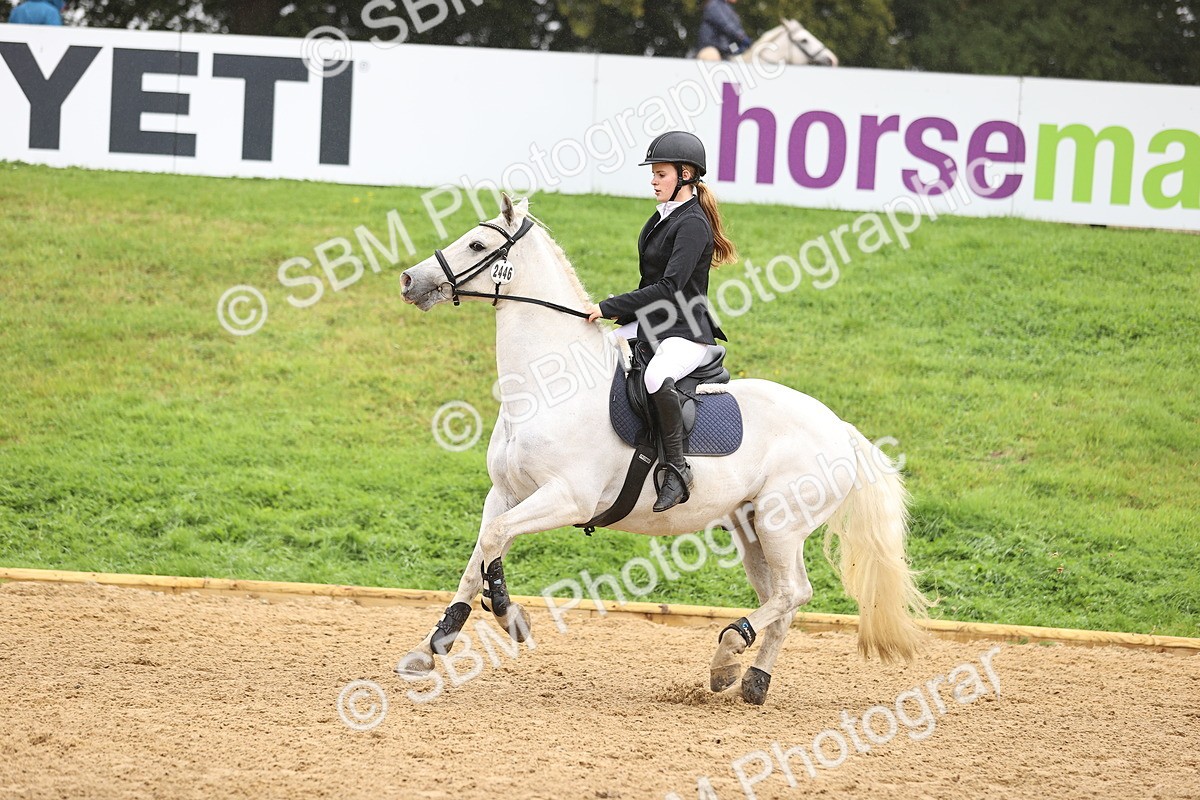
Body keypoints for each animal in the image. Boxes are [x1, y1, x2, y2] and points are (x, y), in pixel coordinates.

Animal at [397, 195, 925, 705]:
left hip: (783, 524)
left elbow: (493, 543)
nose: (408, 280)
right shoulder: (505, 493)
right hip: (753, 528)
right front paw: (431, 647)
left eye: (477, 245)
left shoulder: (568, 498)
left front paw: (510, 616)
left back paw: (728, 651)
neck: (547, 386)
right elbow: (480, 557)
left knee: (794, 591)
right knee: (783, 598)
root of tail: (840, 427)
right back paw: (750, 679)